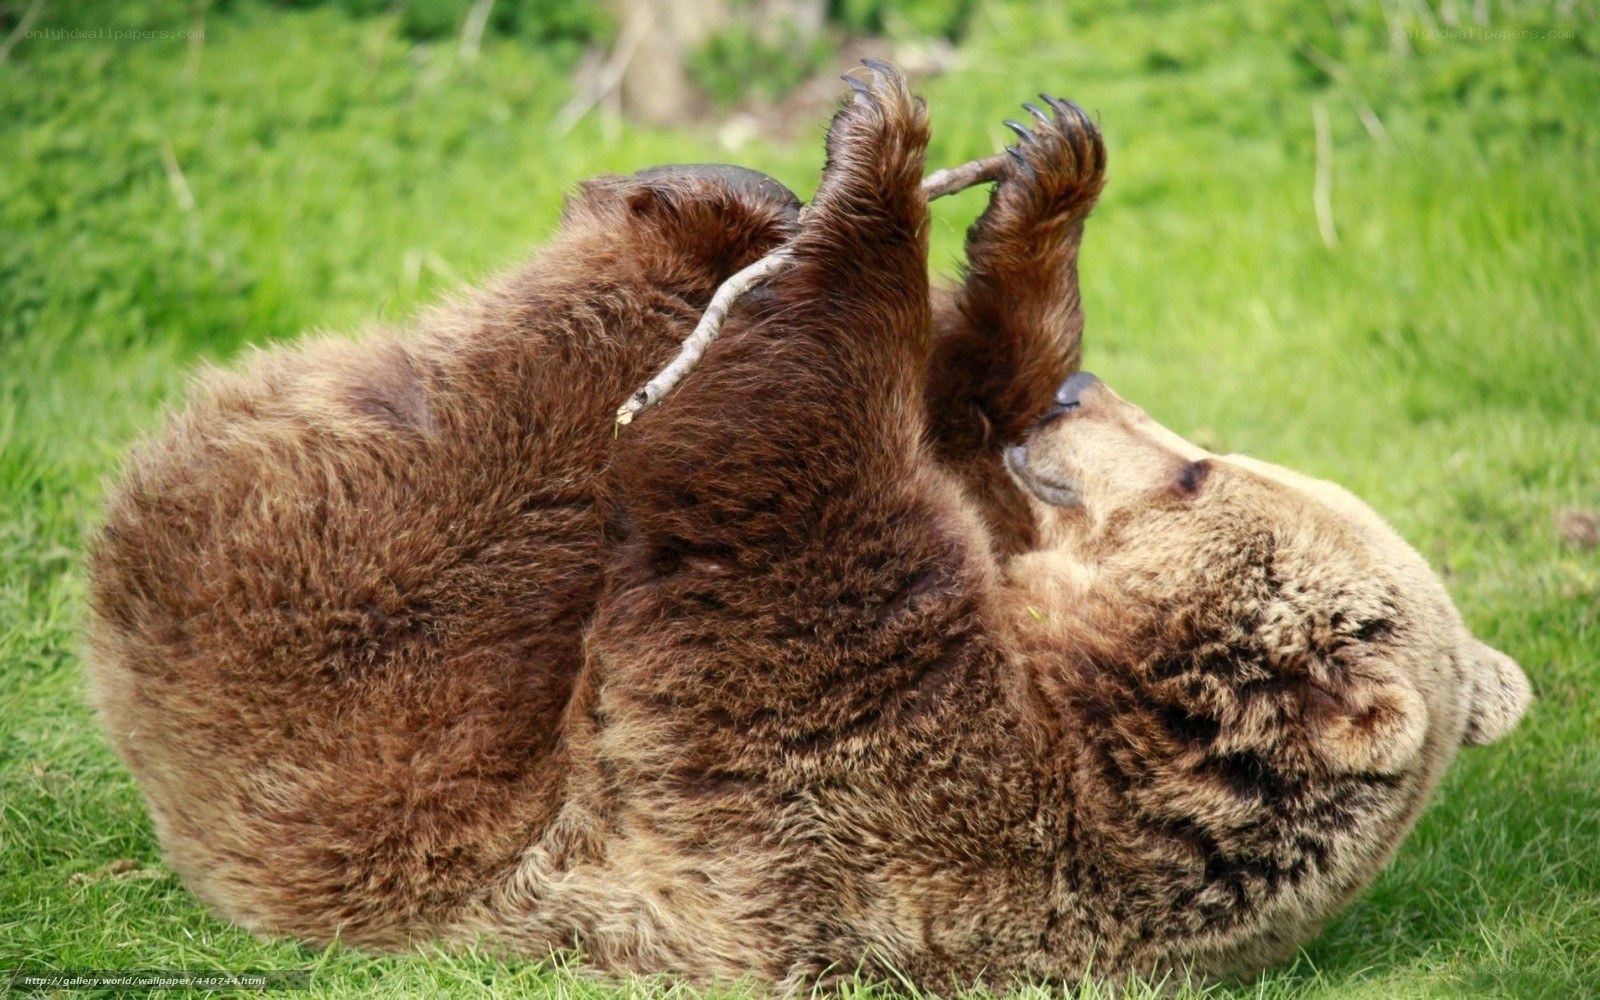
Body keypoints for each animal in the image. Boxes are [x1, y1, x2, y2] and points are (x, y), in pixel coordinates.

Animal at [86, 63, 1530, 991]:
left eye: (1195, 472)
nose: (1080, 400)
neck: (1087, 696)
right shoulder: (989, 571)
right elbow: (949, 420)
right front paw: (1042, 182)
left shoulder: (866, 775)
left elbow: (776, 476)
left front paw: (880, 161)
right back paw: (723, 191)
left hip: (362, 691)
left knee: (514, 438)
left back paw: (690, 211)